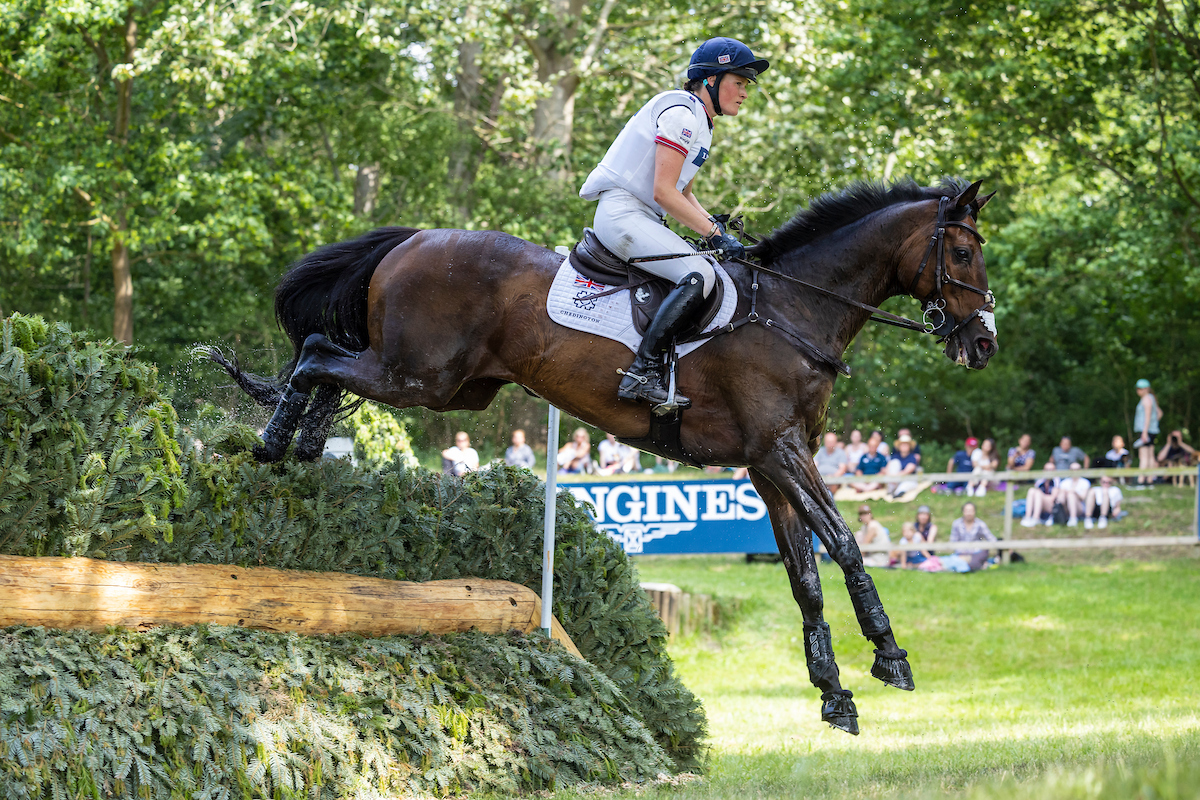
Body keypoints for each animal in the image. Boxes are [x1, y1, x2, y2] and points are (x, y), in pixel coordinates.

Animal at [212, 177, 998, 735]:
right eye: (962, 254)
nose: (983, 344)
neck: (791, 311)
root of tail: (415, 240)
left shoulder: (769, 464)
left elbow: (804, 576)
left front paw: (834, 695)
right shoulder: (781, 453)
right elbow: (845, 544)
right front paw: (889, 655)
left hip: (450, 390)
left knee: (327, 362)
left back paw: (302, 444)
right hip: (419, 377)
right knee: (319, 353)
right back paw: (277, 443)